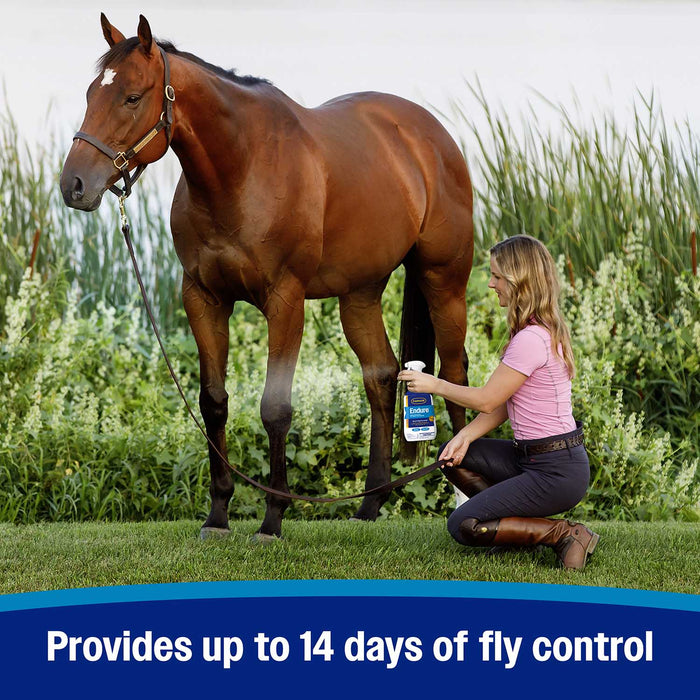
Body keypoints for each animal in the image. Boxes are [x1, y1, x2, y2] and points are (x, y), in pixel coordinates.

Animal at [60, 14, 474, 539]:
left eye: (132, 97)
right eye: (91, 92)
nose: (74, 185)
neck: (242, 169)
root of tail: (430, 135)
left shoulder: (285, 301)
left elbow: (275, 409)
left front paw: (272, 520)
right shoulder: (203, 298)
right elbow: (213, 402)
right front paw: (218, 515)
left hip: (444, 280)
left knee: (456, 373)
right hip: (360, 293)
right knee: (380, 374)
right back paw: (369, 504)